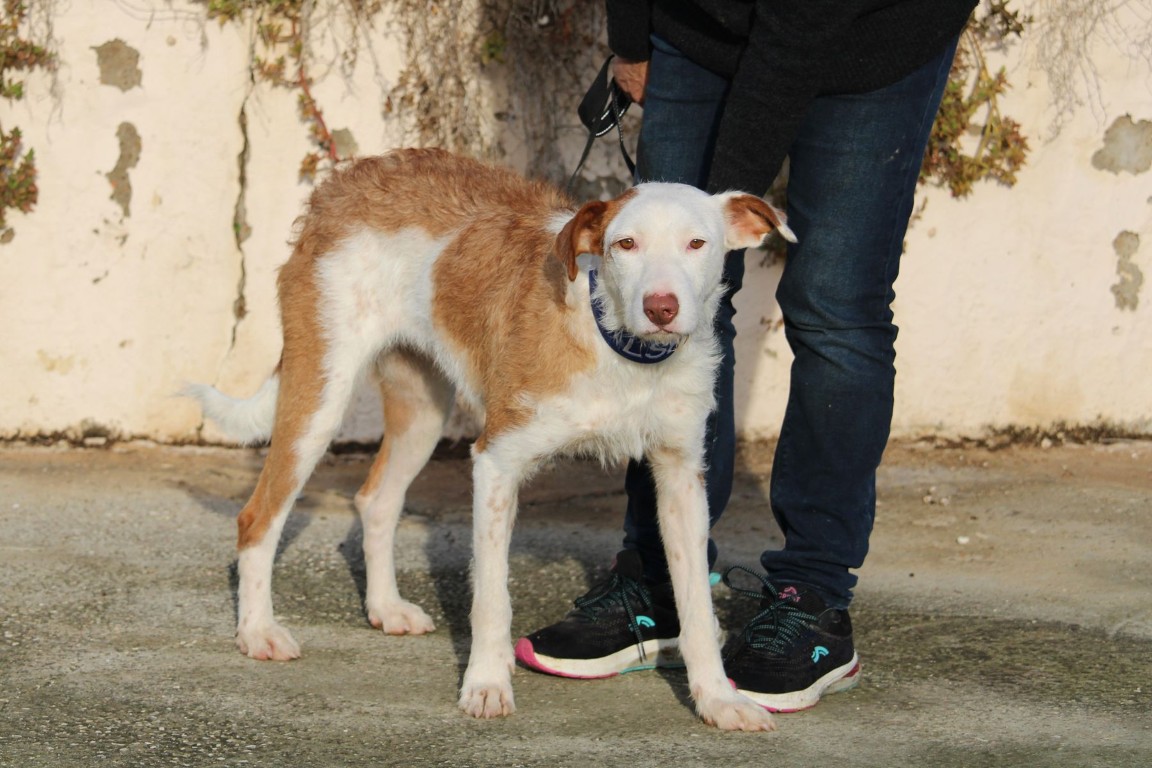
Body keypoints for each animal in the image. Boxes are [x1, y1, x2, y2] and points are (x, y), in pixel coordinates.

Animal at [185, 148, 795, 730]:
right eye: (626, 243)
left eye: (697, 243)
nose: (661, 308)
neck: (617, 342)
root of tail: (344, 183)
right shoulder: (496, 461)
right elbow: (492, 599)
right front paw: (485, 684)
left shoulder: (681, 480)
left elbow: (697, 608)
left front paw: (718, 699)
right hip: (319, 398)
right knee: (258, 517)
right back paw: (258, 631)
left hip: (423, 411)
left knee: (375, 500)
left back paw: (385, 607)